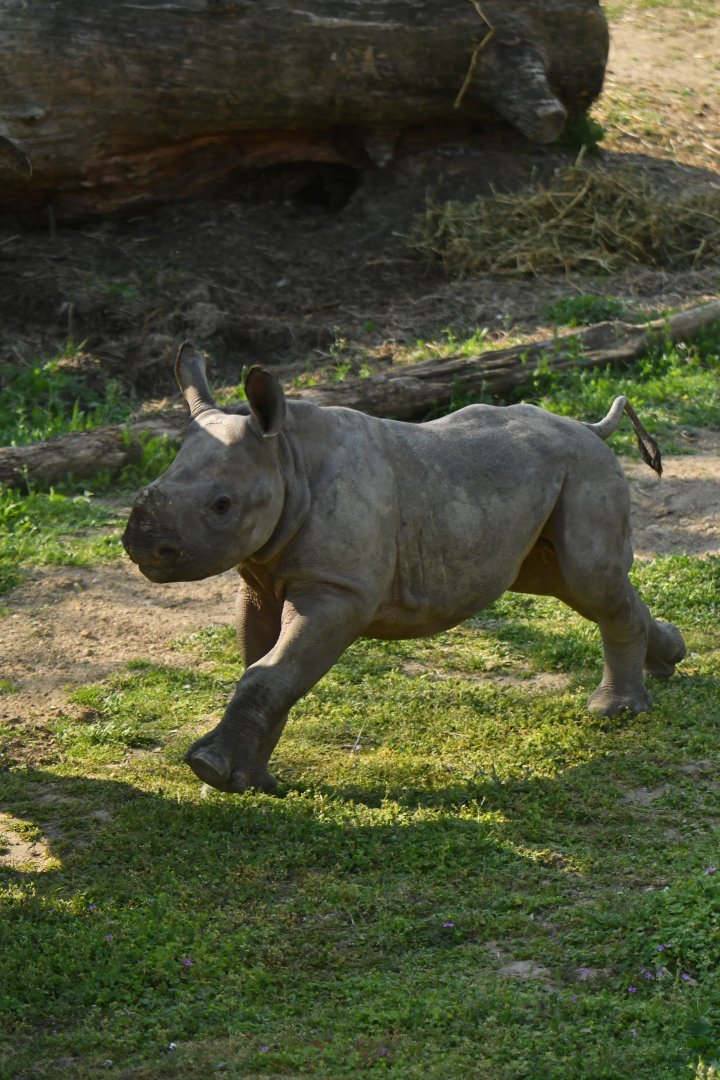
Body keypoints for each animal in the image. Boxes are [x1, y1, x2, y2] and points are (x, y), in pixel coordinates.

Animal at [122, 343, 686, 794]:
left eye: (222, 505)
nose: (141, 547)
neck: (286, 456)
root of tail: (590, 427)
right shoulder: (260, 579)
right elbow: (267, 668)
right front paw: (249, 782)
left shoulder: (339, 590)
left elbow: (269, 673)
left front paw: (209, 770)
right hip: (539, 481)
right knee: (567, 584)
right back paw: (669, 660)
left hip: (583, 468)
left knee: (588, 581)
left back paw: (616, 713)